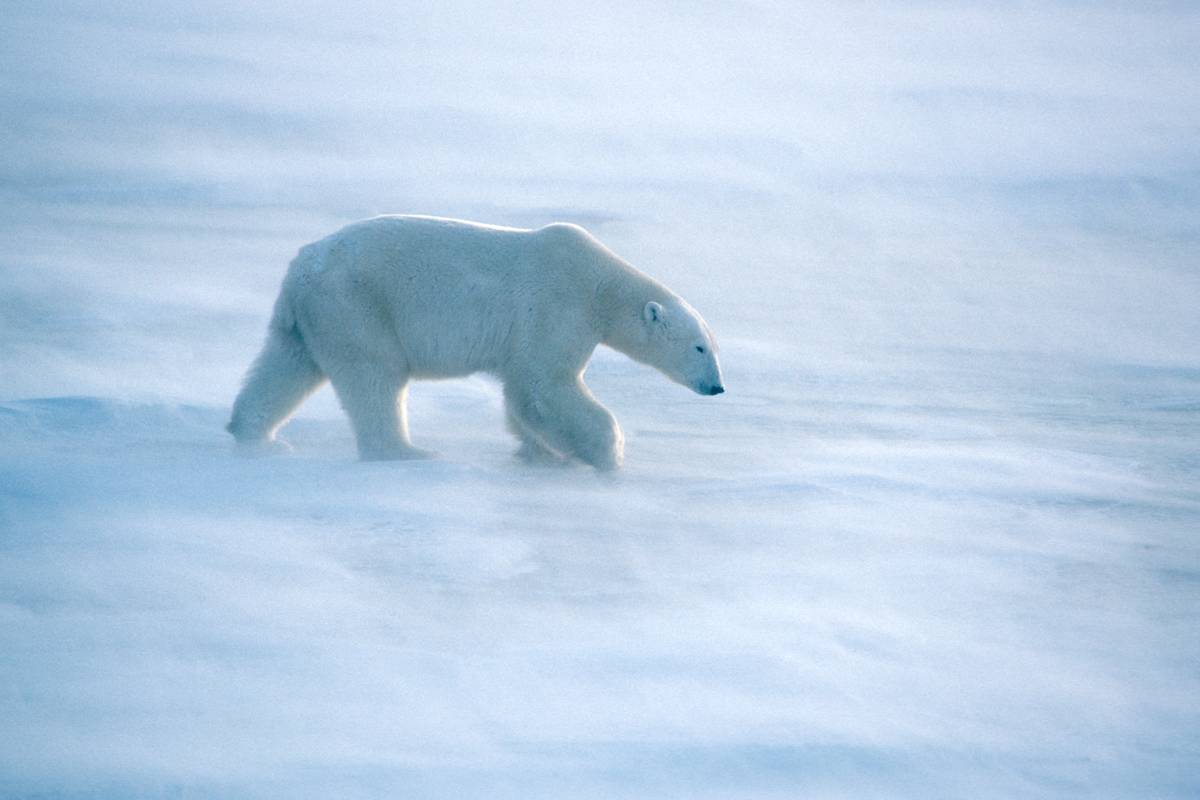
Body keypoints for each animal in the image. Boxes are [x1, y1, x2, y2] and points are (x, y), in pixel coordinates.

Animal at [227, 215, 724, 469]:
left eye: (714, 348)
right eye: (699, 347)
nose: (717, 387)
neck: (600, 285)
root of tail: (299, 269)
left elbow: (524, 394)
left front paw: (539, 451)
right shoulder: (557, 306)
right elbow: (545, 385)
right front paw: (606, 454)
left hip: (315, 316)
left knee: (286, 366)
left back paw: (255, 435)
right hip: (358, 305)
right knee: (375, 378)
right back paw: (408, 451)